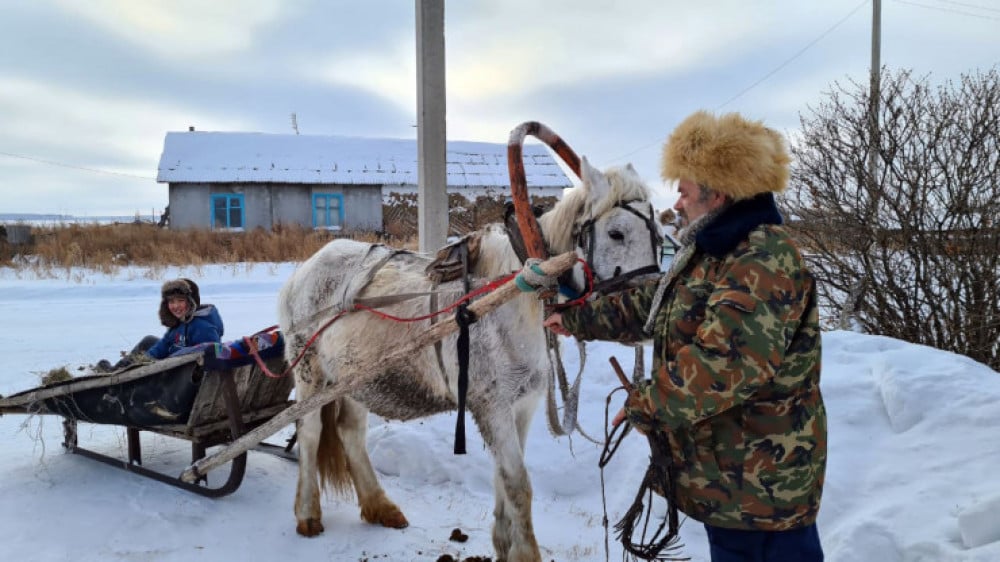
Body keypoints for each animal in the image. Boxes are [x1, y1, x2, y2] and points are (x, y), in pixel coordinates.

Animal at [278, 156, 660, 560]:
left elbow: (504, 478)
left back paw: (380, 506)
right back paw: (308, 513)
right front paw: (524, 553)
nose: (649, 307)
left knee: (350, 431)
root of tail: (306, 267)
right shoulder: (492, 404)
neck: (511, 295)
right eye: (616, 233)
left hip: (355, 377)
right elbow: (518, 483)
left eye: (658, 233)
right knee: (310, 431)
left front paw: (504, 544)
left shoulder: (521, 405)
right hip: (310, 372)